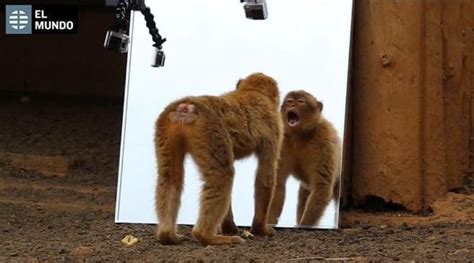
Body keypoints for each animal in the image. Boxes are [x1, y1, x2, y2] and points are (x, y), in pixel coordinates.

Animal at [155, 71, 282, 245]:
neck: (253, 92)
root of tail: (186, 107)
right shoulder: (274, 130)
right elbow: (266, 176)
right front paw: (260, 228)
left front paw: (229, 227)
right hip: (210, 130)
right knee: (223, 174)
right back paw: (206, 236)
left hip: (166, 128)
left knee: (170, 177)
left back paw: (167, 235)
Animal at [266, 91, 340, 227]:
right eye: (289, 101)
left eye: (301, 102)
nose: (292, 105)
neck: (300, 135)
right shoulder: (283, 142)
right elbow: (279, 183)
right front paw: (268, 222)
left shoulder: (325, 140)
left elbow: (322, 186)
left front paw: (304, 224)